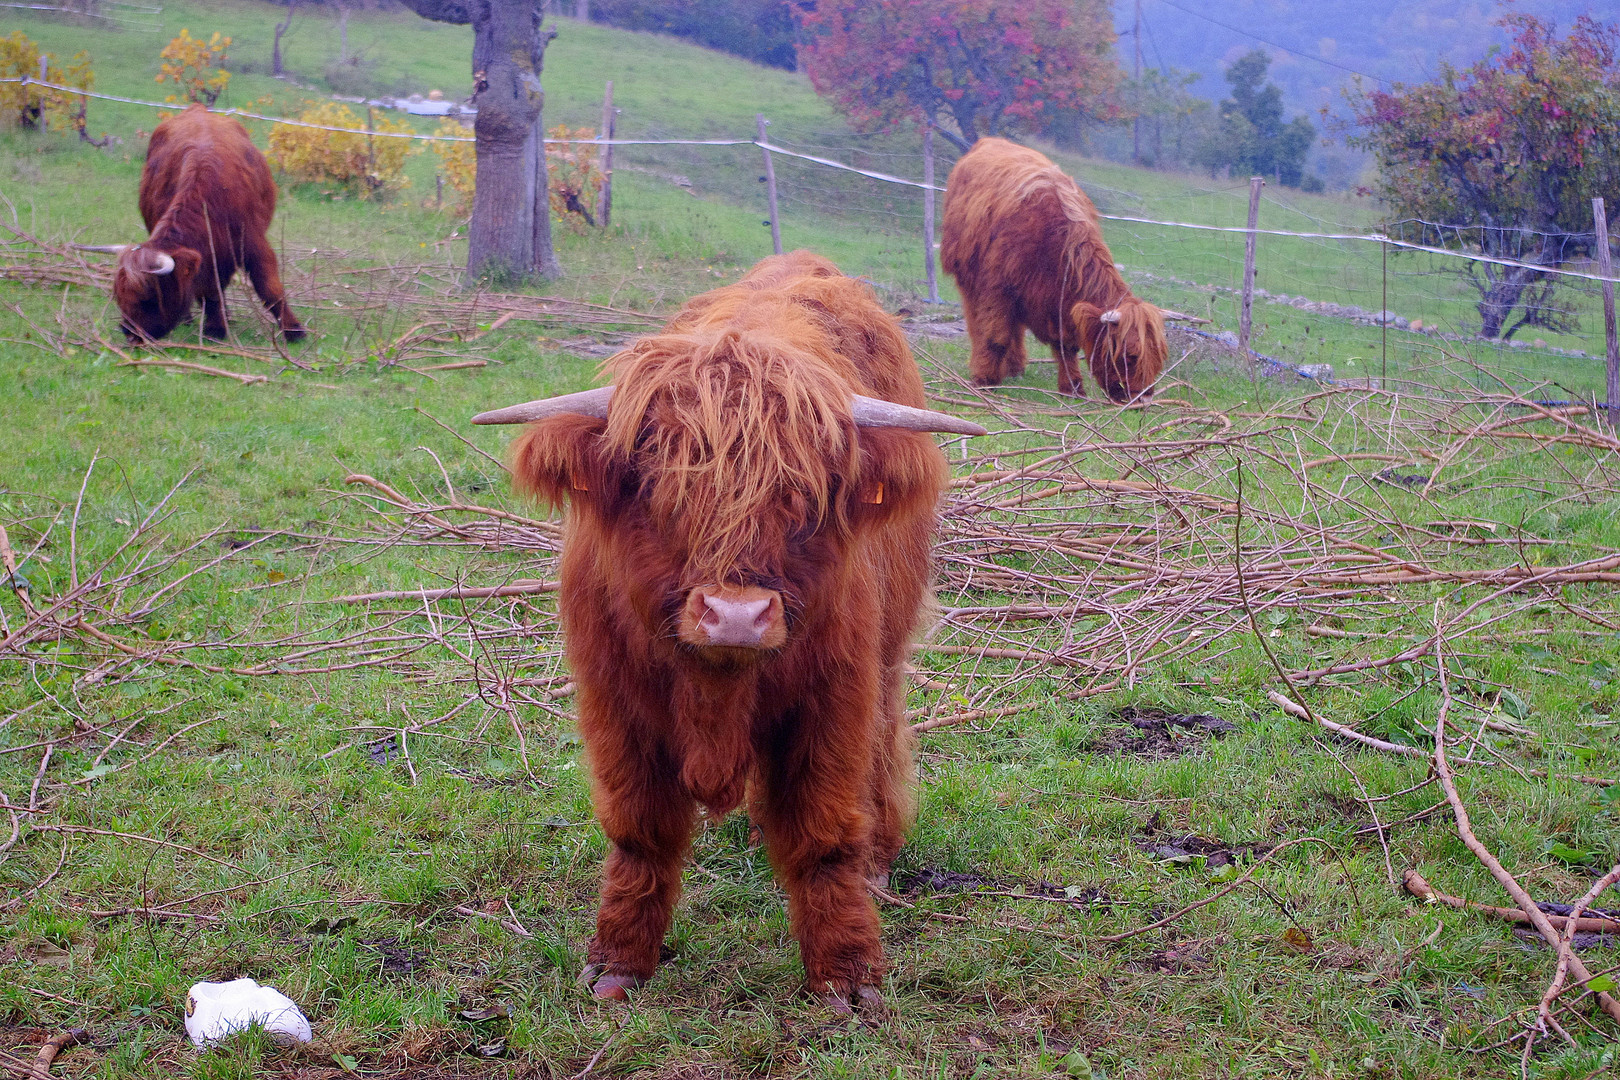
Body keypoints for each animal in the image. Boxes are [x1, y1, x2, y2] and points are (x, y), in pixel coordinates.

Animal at [80, 105, 304, 341]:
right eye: (119, 295)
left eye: (148, 297)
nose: (129, 332)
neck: (212, 200)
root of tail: (197, 109)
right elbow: (210, 291)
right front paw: (216, 327)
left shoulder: (254, 243)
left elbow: (270, 288)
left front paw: (293, 330)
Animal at [473, 250, 984, 1016]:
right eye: (657, 485)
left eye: (804, 493)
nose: (737, 615)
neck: (714, 686)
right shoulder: (613, 702)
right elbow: (639, 829)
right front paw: (619, 963)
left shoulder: (833, 697)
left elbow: (823, 833)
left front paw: (847, 975)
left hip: (888, 649)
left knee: (886, 738)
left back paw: (880, 857)